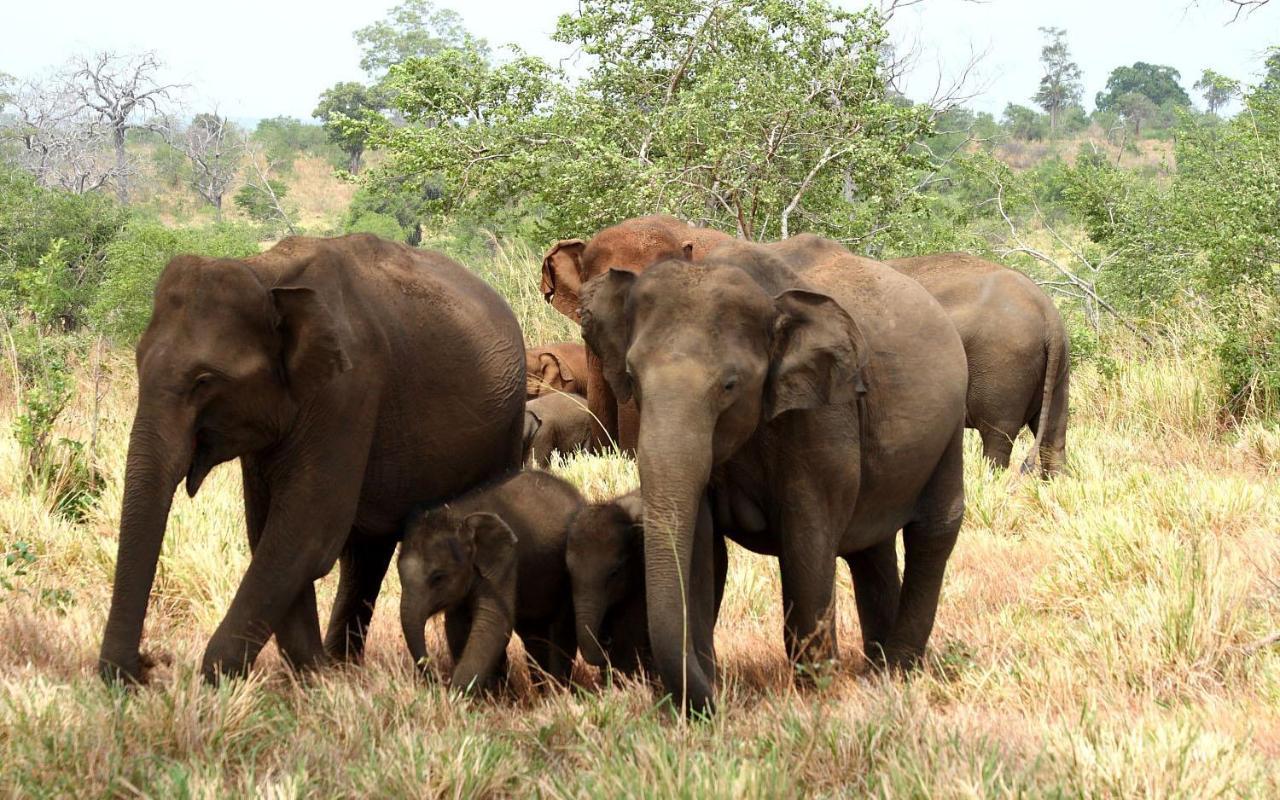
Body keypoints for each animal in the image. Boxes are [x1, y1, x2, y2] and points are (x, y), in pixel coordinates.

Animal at [93, 232, 524, 686]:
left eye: (204, 381)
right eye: (138, 363)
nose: (147, 666)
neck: (265, 272)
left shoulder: (347, 392)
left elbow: (306, 532)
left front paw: (219, 679)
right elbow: (271, 532)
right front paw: (315, 679)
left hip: (508, 428)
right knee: (365, 555)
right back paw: (342, 666)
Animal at [396, 471, 583, 691]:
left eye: (438, 577)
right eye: (399, 573)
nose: (437, 681)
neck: (458, 513)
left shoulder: (505, 562)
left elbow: (493, 623)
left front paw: (457, 695)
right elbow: (457, 627)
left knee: (561, 630)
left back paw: (558, 689)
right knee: (533, 634)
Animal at [578, 235, 962, 711]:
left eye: (730, 384)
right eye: (632, 375)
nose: (718, 701)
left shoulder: (823, 415)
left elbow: (807, 538)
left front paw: (816, 695)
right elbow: (702, 546)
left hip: (950, 428)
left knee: (933, 530)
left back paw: (898, 668)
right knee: (870, 549)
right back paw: (877, 672)